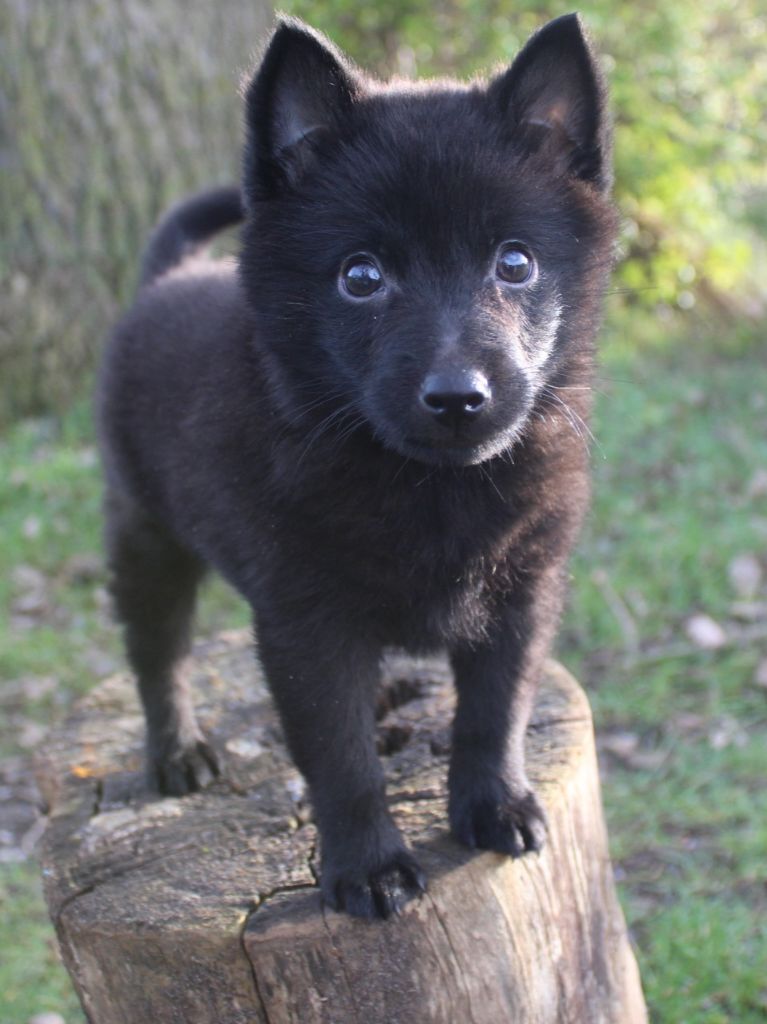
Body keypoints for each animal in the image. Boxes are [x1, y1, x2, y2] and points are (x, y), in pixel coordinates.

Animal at [100, 12, 614, 921]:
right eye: (361, 276)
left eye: (514, 262)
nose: (457, 396)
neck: (432, 488)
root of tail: (167, 278)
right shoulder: (305, 622)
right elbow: (337, 756)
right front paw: (369, 868)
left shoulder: (523, 589)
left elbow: (496, 709)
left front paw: (494, 806)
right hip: (144, 534)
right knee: (159, 652)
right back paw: (176, 752)